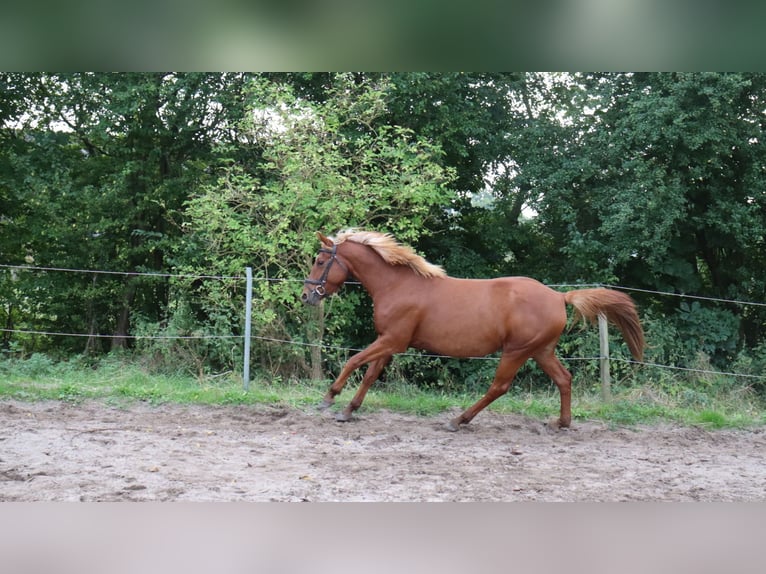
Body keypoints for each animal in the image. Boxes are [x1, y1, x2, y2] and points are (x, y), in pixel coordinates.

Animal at [304, 231, 644, 432]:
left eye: (320, 260)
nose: (307, 296)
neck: (398, 285)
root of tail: (559, 296)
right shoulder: (389, 342)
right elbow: (370, 374)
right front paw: (348, 410)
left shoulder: (392, 340)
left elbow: (353, 361)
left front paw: (329, 398)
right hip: (541, 350)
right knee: (564, 379)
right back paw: (561, 422)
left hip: (517, 351)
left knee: (499, 386)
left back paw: (458, 420)